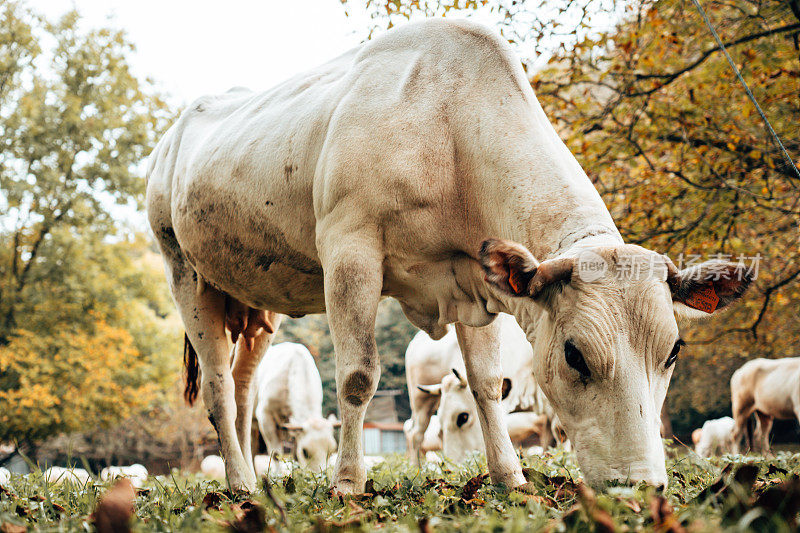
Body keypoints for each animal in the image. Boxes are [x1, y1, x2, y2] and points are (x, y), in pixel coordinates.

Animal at [252, 340, 336, 470]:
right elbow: (275, 454)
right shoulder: (265, 416)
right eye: (305, 452)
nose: (319, 475)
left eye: (331, 451)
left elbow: (295, 455)